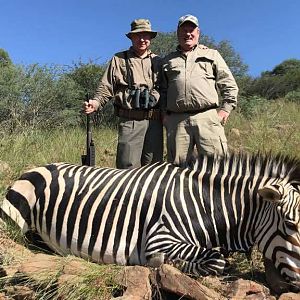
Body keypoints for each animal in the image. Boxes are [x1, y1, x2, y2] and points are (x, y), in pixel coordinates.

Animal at [0, 152, 300, 288]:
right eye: (290, 224)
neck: (203, 204)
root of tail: (38, 167)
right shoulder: (159, 238)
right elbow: (216, 260)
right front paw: (168, 265)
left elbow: (217, 255)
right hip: (14, 218)